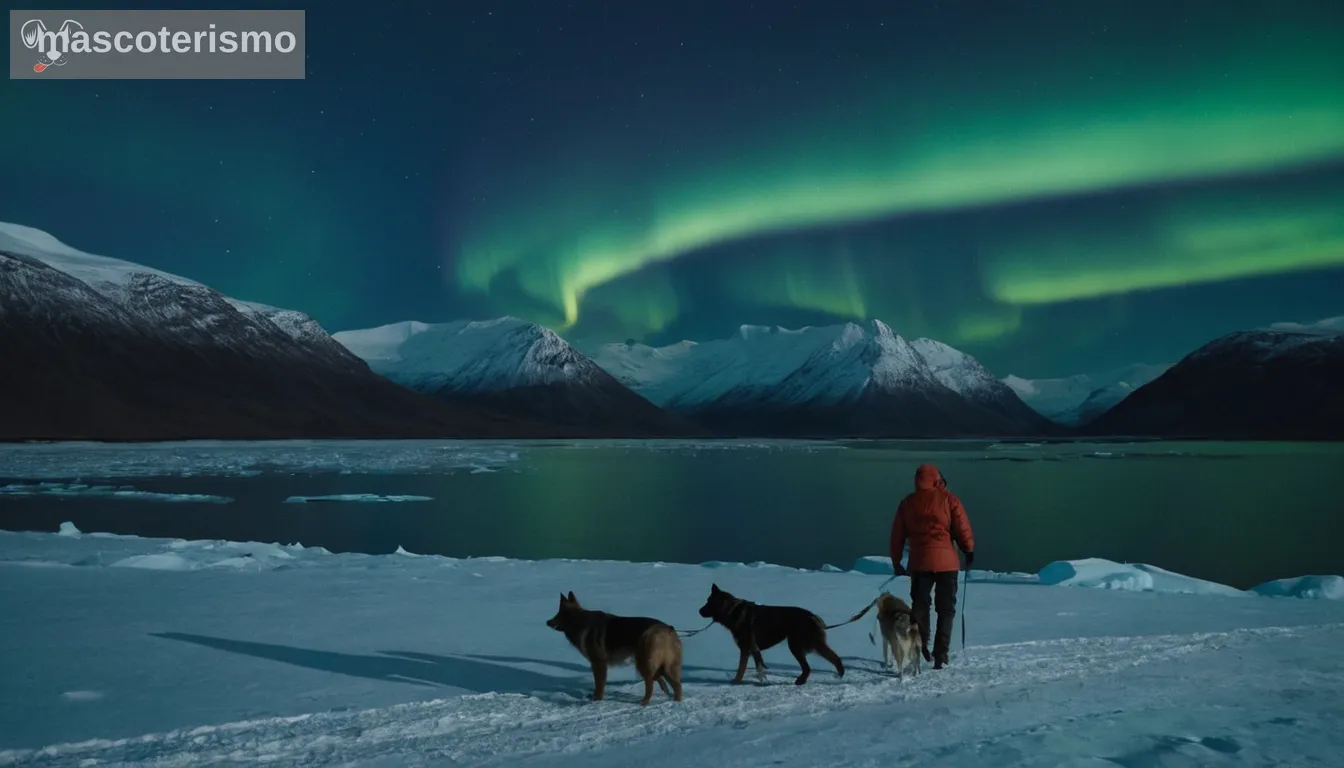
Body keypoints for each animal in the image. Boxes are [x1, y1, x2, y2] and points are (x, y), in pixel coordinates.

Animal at [542, 591, 682, 704]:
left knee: (651, 685)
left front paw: (597, 700)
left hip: (643, 664)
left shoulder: (598, 664)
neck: (578, 620)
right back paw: (675, 700)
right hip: (664, 666)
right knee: (675, 684)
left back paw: (645, 702)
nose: (547, 622)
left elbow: (599, 685)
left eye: (558, 614)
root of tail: (667, 629)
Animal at [698, 586, 844, 688]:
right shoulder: (752, 649)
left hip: (795, 645)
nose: (699, 611)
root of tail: (812, 616)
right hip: (807, 644)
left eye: (709, 602)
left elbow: (741, 669)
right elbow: (758, 668)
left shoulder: (746, 648)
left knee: (810, 666)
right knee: (829, 657)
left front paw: (735, 682)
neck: (731, 610)